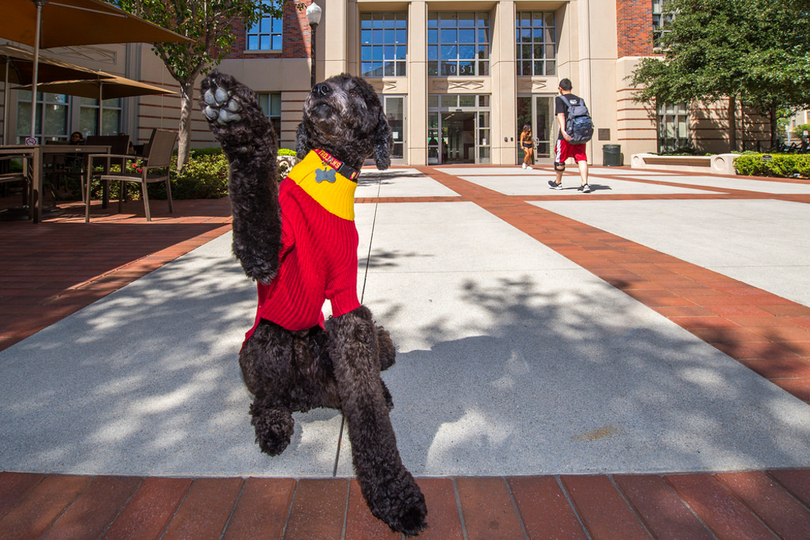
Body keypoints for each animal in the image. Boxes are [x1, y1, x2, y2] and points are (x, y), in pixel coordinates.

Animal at [200, 73, 426, 536]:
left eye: (358, 91)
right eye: (326, 83)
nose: (320, 90)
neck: (330, 170)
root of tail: (308, 396)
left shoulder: (347, 305)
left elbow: (368, 411)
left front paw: (393, 495)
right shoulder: (264, 254)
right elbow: (255, 197)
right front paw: (237, 120)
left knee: (369, 371)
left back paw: (380, 390)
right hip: (266, 344)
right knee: (264, 400)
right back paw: (274, 425)